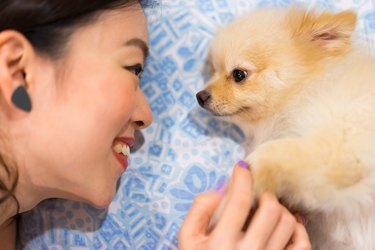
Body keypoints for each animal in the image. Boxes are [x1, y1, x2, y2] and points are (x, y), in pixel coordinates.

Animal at [195, 6, 375, 249]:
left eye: (239, 75)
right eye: (213, 70)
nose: (200, 96)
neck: (306, 91)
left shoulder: (341, 145)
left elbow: (271, 152)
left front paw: (226, 204)